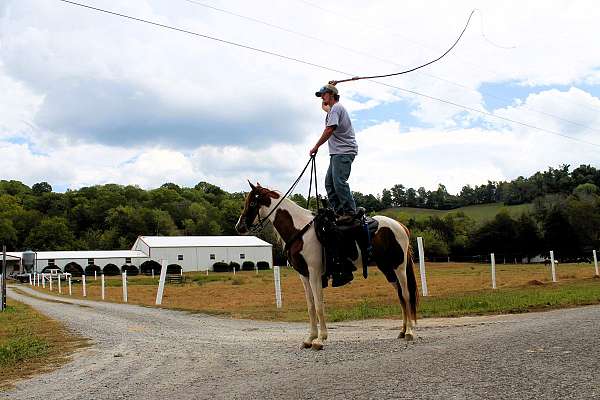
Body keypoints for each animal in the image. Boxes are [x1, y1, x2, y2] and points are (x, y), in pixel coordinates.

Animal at [234, 182, 418, 350]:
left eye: (252, 203)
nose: (239, 227)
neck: (299, 230)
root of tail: (400, 226)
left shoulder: (315, 273)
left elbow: (319, 305)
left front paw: (320, 339)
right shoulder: (304, 275)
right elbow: (310, 306)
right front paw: (309, 338)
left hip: (399, 267)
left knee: (406, 295)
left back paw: (409, 332)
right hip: (387, 268)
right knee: (400, 296)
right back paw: (402, 331)